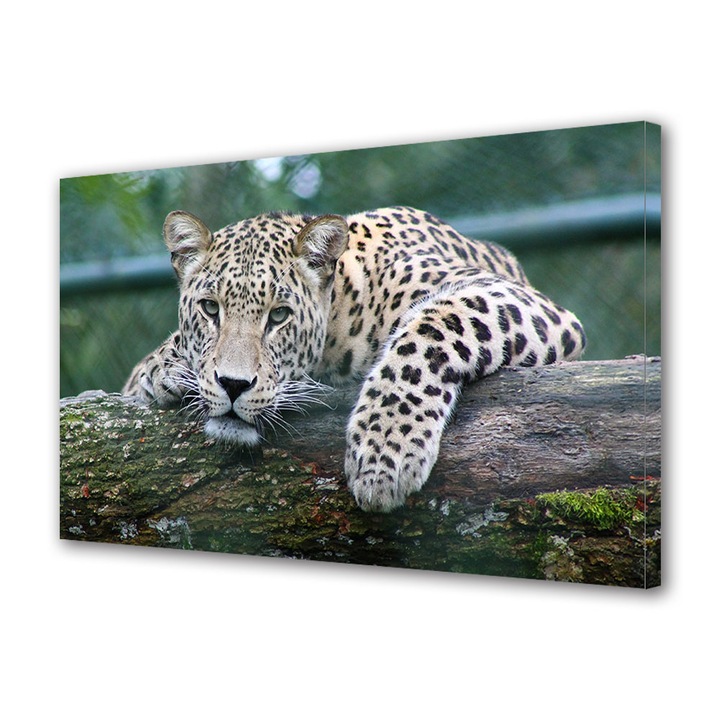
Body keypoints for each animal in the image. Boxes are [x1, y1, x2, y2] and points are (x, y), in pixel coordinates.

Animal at [123, 206, 586, 512]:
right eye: (210, 309)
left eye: (279, 316)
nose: (233, 385)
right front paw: (160, 369)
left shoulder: (518, 300)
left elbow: (432, 328)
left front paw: (385, 454)